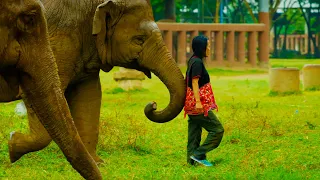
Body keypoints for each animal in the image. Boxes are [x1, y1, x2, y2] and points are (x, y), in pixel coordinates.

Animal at [8, 0, 185, 167]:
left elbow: (89, 97)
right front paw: (13, 145)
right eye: (139, 39)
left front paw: (97, 163)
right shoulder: (57, 39)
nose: (153, 105)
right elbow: (42, 94)